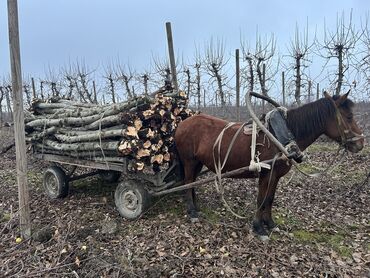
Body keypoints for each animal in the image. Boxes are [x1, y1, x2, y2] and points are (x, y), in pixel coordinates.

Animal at [173, 91, 364, 237]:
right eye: (349, 116)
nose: (360, 144)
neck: (282, 137)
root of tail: (182, 124)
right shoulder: (266, 174)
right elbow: (261, 199)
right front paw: (259, 228)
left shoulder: (276, 176)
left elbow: (270, 199)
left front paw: (270, 224)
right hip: (189, 161)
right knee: (187, 182)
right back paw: (192, 212)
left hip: (197, 162)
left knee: (191, 184)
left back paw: (195, 206)